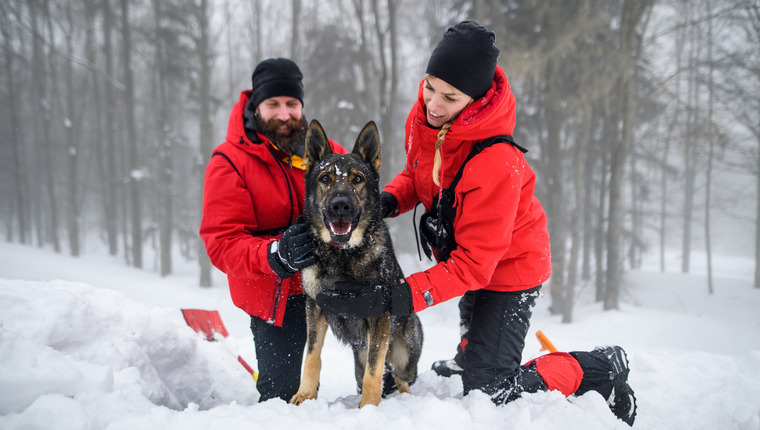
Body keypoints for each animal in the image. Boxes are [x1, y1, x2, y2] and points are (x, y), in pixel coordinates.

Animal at [290, 120, 424, 406]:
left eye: (357, 179)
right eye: (325, 178)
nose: (340, 205)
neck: (343, 255)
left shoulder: (379, 316)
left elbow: (375, 369)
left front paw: (369, 408)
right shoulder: (315, 306)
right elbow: (312, 356)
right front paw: (305, 394)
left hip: (405, 354)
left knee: (400, 377)